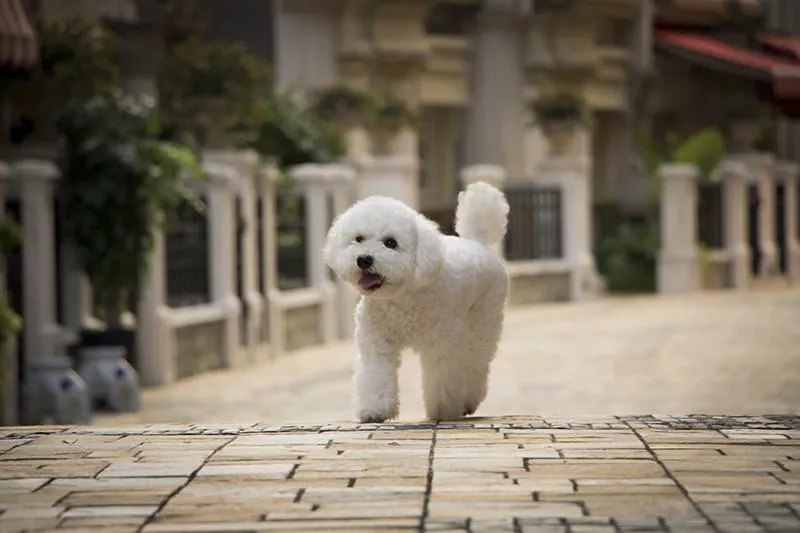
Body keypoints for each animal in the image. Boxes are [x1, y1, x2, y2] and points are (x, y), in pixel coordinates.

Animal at [322, 181, 510, 422]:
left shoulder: (441, 346)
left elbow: (442, 379)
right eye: (359, 239)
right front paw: (375, 410)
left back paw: (468, 400)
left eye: (391, 243)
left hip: (483, 322)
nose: (364, 259)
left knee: (476, 362)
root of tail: (477, 242)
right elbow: (376, 374)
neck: (402, 295)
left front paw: (442, 411)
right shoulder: (376, 341)